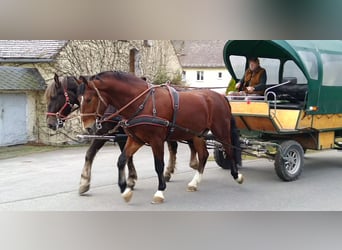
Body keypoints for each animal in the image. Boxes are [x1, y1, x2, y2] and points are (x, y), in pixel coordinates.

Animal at [44, 73, 198, 194]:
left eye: (54, 96)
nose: (50, 123)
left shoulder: (104, 132)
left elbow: (90, 153)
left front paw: (84, 182)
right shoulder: (122, 135)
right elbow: (126, 156)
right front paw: (130, 178)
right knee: (175, 147)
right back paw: (171, 171)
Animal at [78, 70, 243, 203]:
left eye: (89, 99)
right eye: (80, 100)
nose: (88, 127)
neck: (142, 103)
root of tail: (221, 96)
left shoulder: (156, 140)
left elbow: (158, 165)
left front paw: (159, 191)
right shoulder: (135, 139)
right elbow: (122, 160)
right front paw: (125, 190)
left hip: (221, 130)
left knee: (229, 149)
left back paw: (237, 175)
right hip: (197, 134)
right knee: (203, 155)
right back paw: (194, 182)